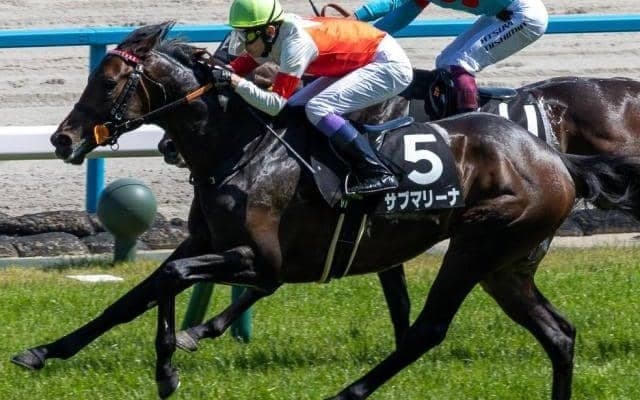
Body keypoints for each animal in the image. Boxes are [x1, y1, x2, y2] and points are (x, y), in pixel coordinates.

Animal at [12, 22, 640, 399]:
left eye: (109, 80)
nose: (62, 140)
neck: (240, 145)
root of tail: (554, 157)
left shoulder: (262, 259)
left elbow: (175, 277)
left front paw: (169, 363)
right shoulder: (207, 241)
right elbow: (137, 295)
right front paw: (44, 351)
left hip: (479, 244)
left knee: (429, 330)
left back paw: (347, 393)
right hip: (506, 263)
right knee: (558, 334)